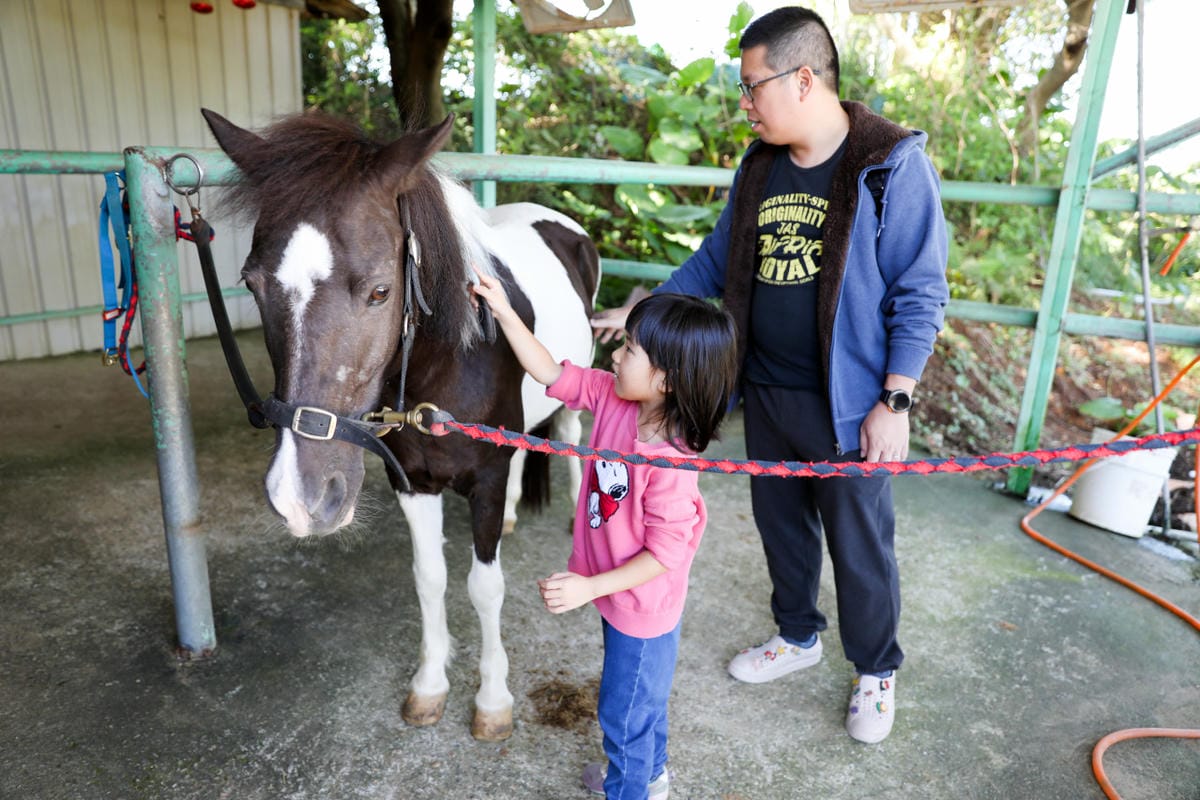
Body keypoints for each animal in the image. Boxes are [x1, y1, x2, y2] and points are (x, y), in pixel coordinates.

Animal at [200, 108, 599, 741]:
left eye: (380, 291)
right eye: (251, 284)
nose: (301, 497)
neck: (447, 365)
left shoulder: (484, 480)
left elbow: (484, 588)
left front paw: (492, 701)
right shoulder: (412, 481)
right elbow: (429, 579)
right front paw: (430, 686)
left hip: (572, 395)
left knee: (569, 437)